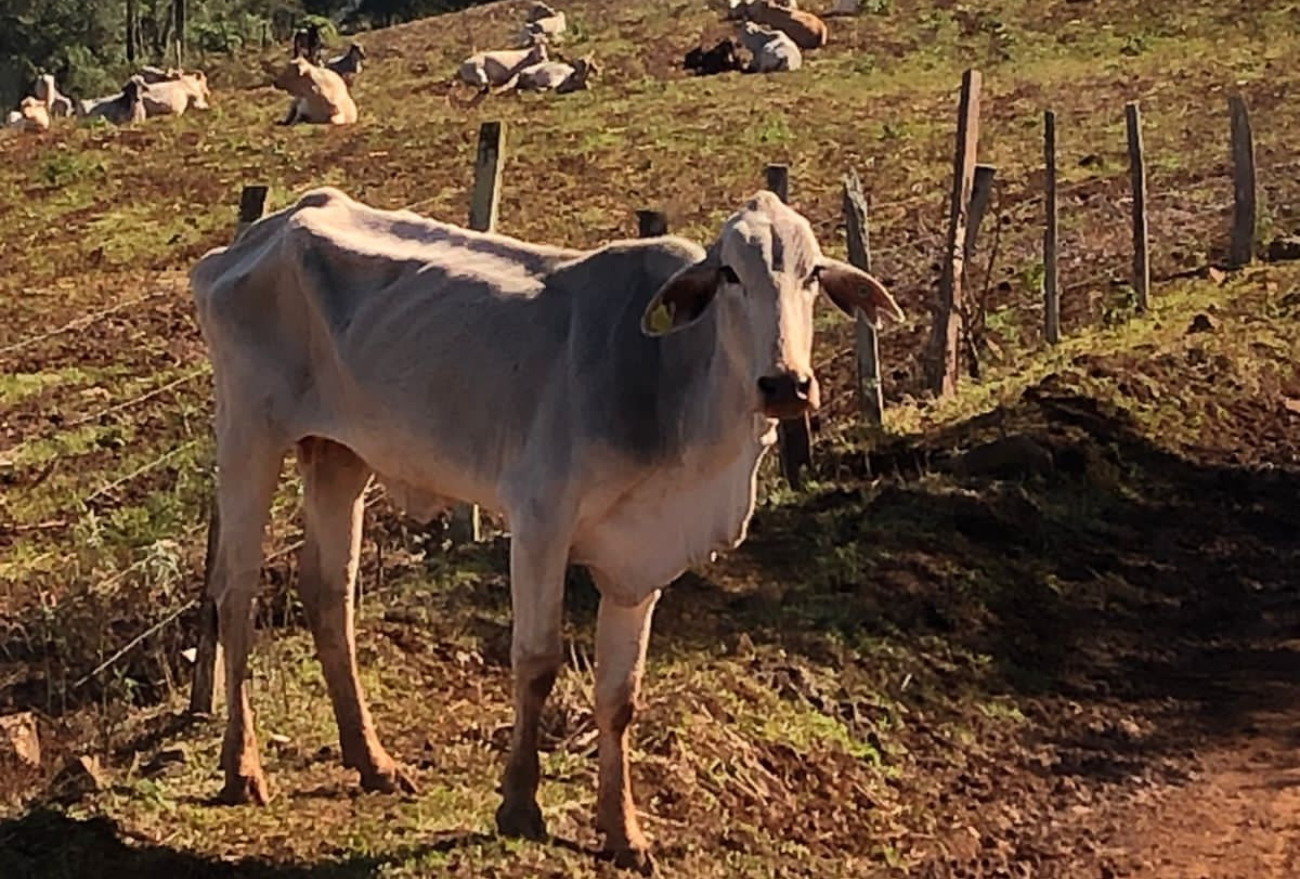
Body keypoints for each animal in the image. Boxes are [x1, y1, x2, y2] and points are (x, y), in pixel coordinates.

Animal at [189, 185, 904, 873]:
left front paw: (623, 832)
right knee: (235, 594)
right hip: (249, 435)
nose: (786, 384)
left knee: (328, 593)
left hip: (339, 456)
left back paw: (373, 761)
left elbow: (621, 696)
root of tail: (259, 235)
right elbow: (536, 662)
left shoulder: (638, 567)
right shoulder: (539, 523)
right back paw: (243, 768)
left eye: (814, 274)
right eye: (730, 273)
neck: (668, 384)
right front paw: (519, 806)